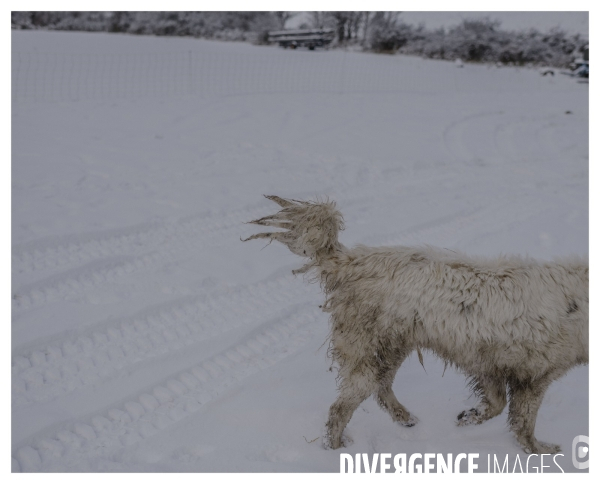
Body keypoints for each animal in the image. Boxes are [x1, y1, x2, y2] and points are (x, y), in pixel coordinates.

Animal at [241, 196, 588, 454]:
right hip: (369, 350)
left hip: (393, 346)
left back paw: (405, 418)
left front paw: (467, 417)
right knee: (340, 408)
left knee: (381, 390)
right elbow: (521, 421)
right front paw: (540, 451)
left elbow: (498, 405)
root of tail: (349, 260)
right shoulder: (531, 376)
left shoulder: (489, 362)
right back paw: (337, 449)